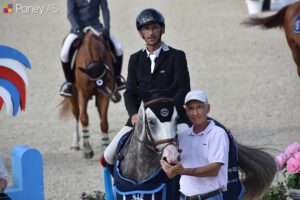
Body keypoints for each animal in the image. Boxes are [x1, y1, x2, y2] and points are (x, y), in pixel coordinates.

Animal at [59, 28, 117, 159]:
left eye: (107, 77)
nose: (114, 95)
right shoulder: (83, 93)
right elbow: (84, 118)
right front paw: (87, 149)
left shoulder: (103, 95)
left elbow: (104, 122)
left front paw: (105, 146)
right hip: (74, 95)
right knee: (77, 114)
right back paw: (75, 144)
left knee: (99, 114)